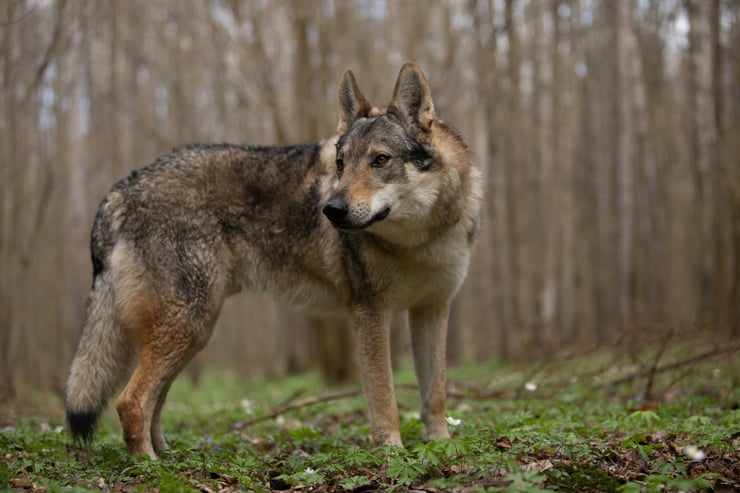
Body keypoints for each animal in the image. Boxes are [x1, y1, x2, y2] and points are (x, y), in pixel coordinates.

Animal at [65, 62, 483, 458]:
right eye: (341, 164)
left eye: (380, 160)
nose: (331, 209)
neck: (420, 240)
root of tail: (121, 190)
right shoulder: (371, 314)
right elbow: (385, 398)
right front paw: (392, 452)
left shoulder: (432, 310)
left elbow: (435, 394)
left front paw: (441, 445)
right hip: (187, 325)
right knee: (130, 401)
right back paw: (148, 463)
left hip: (194, 331)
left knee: (154, 400)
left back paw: (167, 456)